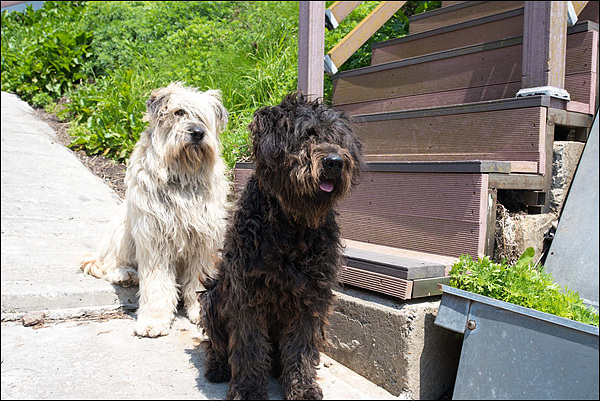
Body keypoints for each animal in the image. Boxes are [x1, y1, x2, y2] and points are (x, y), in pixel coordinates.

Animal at [79, 83, 230, 336]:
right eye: (179, 112)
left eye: (202, 116)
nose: (198, 133)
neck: (182, 177)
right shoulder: (155, 239)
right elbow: (156, 284)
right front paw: (154, 320)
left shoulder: (204, 241)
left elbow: (198, 279)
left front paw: (199, 311)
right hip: (123, 225)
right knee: (111, 263)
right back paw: (126, 274)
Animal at [199, 92, 364, 398]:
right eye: (307, 135)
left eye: (339, 140)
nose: (335, 162)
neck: (291, 226)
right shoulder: (247, 294)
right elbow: (249, 346)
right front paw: (248, 389)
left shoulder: (311, 296)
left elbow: (301, 347)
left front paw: (302, 388)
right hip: (213, 297)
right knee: (215, 344)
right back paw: (218, 368)